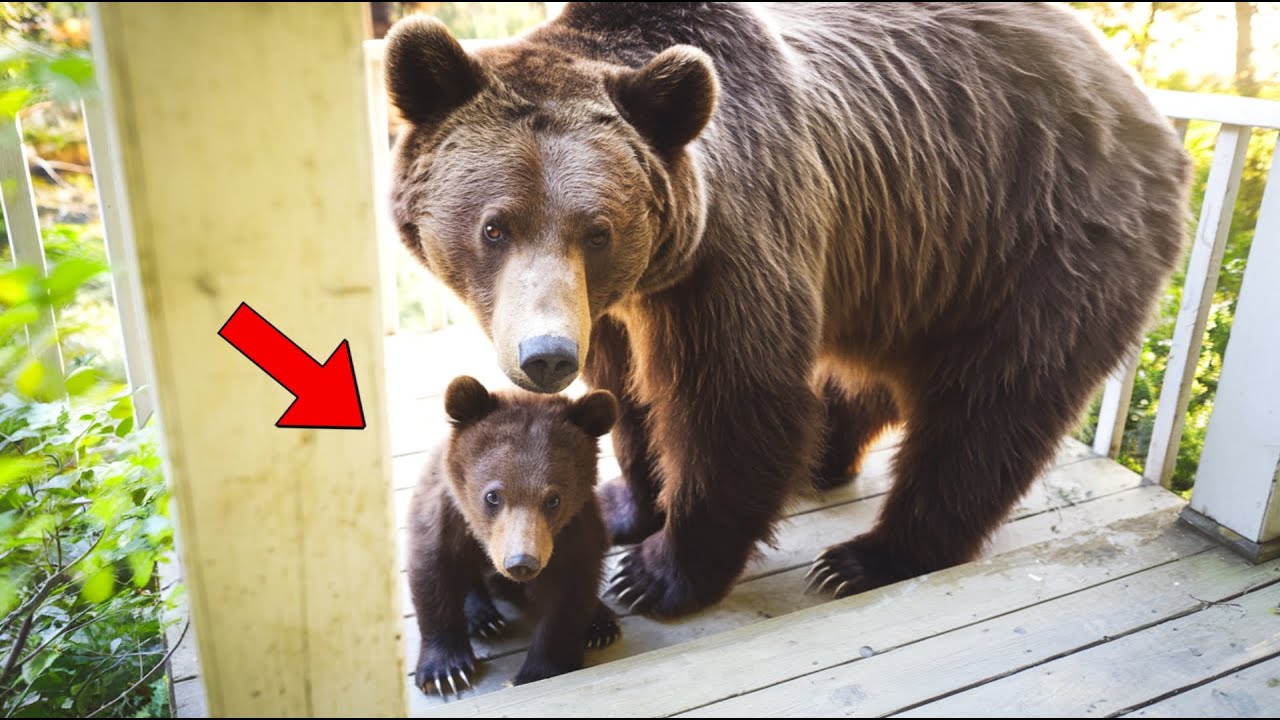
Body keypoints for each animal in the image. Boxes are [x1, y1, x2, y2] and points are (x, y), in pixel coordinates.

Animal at [385, 2, 1191, 618]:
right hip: (913, 268)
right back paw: (828, 457)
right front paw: (624, 502)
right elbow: (629, 398)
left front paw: (657, 572)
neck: (656, 273)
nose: (547, 356)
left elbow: (736, 401)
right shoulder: (617, 307)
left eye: (598, 230)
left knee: (990, 408)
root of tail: (1141, 101)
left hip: (1041, 237)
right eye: (496, 227)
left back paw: (868, 557)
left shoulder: (733, 244)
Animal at [406, 375, 621, 694]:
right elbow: (433, 573)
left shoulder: (572, 531)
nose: (521, 562)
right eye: (492, 496)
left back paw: (601, 624)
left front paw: (538, 671)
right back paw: (483, 616)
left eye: (553, 499)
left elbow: (569, 594)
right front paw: (445, 671)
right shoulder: (446, 515)